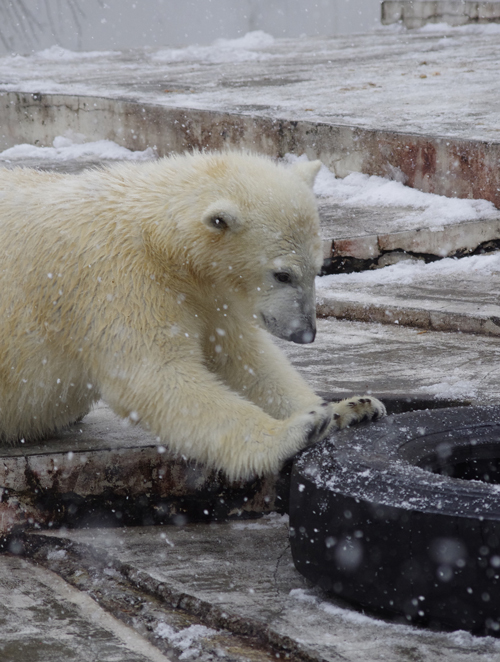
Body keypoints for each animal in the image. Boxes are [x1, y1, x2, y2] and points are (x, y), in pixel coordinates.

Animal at [0, 152, 384, 480]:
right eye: (282, 274)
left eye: (318, 269)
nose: (306, 333)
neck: (159, 239)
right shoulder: (115, 281)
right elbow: (156, 374)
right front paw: (297, 429)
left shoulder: (210, 292)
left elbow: (244, 357)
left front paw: (349, 408)